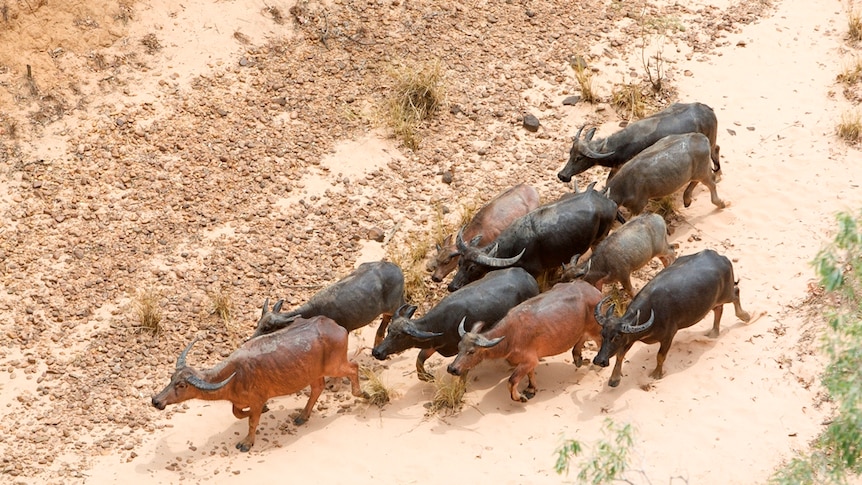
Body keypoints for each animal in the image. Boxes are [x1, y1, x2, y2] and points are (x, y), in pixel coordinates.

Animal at [253, 260, 408, 346]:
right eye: (258, 323)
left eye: (267, 328)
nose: (251, 339)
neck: (315, 311)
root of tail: (398, 269)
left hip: (395, 303)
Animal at [372, 266, 540, 380]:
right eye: (389, 331)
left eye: (399, 336)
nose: (377, 352)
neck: (440, 323)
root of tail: (528, 277)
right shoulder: (436, 344)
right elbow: (419, 359)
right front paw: (426, 377)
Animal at [452, 182, 620, 292]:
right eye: (459, 263)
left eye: (472, 268)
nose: (452, 286)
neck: (514, 247)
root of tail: (609, 201)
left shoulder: (535, 272)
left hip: (600, 238)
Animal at [556, 102, 720, 183]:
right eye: (570, 153)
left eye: (579, 158)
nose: (562, 175)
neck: (620, 146)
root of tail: (708, 109)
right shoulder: (615, 168)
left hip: (711, 140)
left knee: (714, 151)